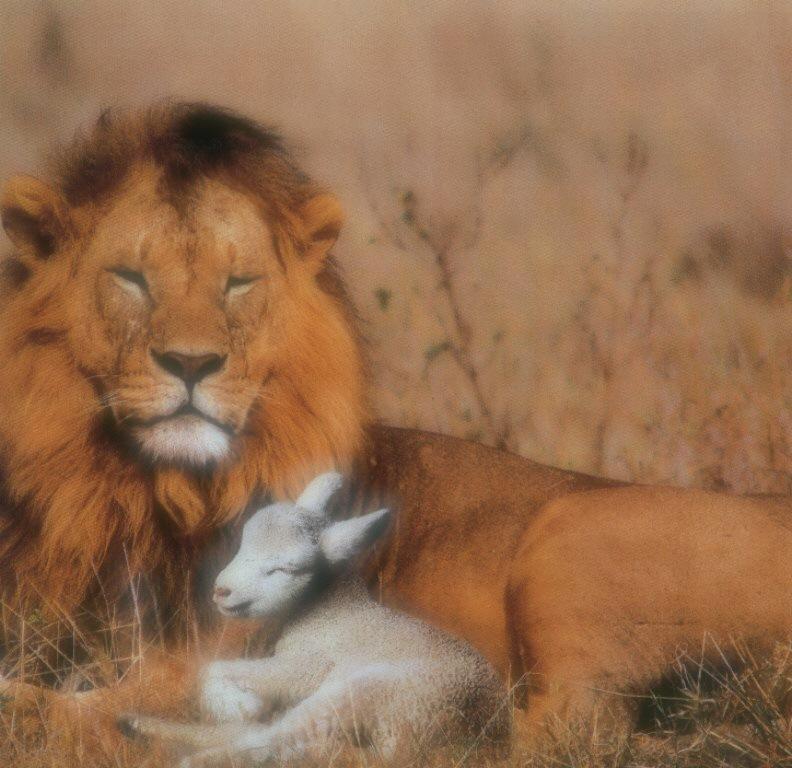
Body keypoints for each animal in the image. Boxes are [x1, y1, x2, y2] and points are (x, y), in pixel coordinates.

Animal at [119, 472, 510, 766]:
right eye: (244, 543)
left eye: (285, 568)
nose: (221, 591)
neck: (330, 612)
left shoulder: (310, 664)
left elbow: (212, 669)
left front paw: (241, 704)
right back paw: (136, 724)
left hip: (367, 694)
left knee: (274, 741)